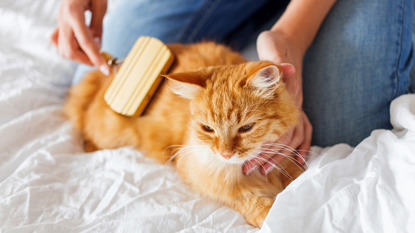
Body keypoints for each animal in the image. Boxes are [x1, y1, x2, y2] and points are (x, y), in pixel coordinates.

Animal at [65, 41, 306, 228]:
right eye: (208, 129)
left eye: (246, 128)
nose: (225, 154)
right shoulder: (203, 177)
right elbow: (247, 199)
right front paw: (271, 213)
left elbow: (296, 175)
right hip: (110, 132)